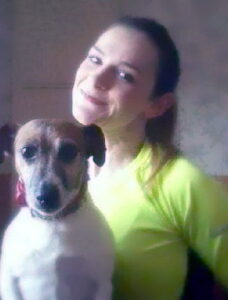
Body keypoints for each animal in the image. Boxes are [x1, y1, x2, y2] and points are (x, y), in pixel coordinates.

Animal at [0, 119, 114, 300]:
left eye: (69, 151)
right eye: (26, 151)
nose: (46, 196)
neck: (53, 222)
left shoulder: (101, 285)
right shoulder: (9, 284)